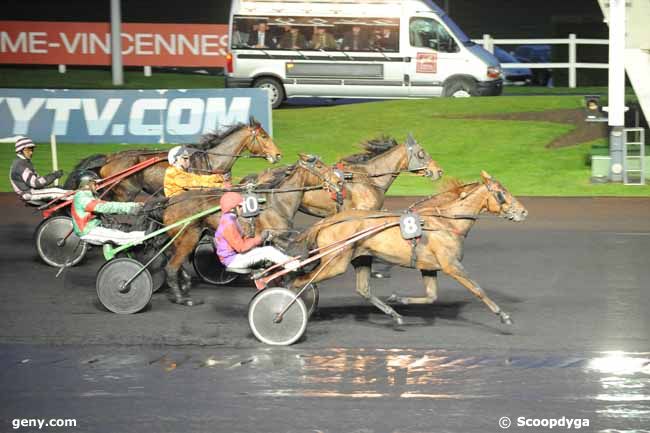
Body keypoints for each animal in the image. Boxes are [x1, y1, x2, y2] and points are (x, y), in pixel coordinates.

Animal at [161, 154, 342, 302]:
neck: (277, 203)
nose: (339, 181)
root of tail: (170, 203)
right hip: (188, 237)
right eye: (319, 166)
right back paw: (181, 297)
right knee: (171, 266)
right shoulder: (278, 237)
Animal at [292, 170, 524, 326]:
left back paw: (394, 314)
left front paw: (399, 298)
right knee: (299, 281)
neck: (446, 223)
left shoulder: (429, 267)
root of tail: (326, 222)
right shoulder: (451, 265)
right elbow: (477, 288)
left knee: (363, 289)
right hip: (335, 263)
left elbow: (431, 296)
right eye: (501, 193)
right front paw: (502, 315)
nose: (523, 212)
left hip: (361, 257)